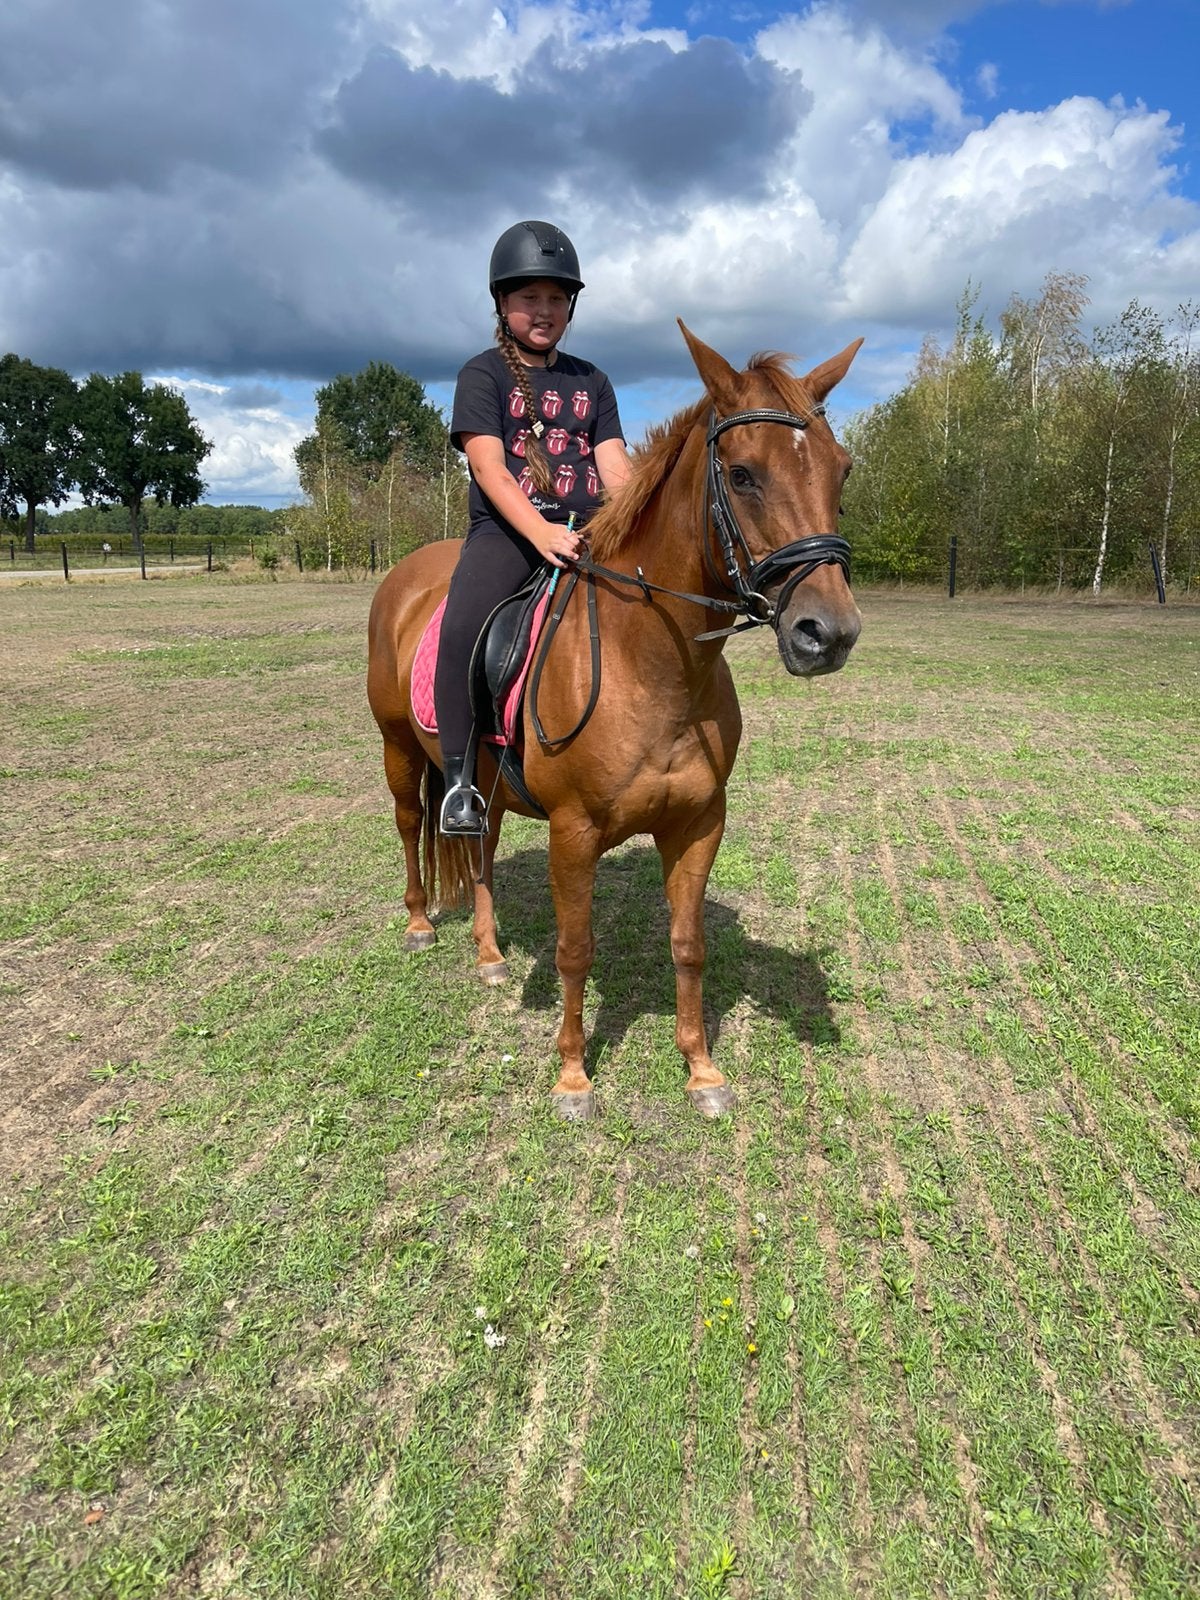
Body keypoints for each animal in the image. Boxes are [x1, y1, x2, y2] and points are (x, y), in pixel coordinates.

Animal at [366, 322, 862, 1120]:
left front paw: (702, 1071)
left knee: (480, 851)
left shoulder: (698, 824)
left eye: (840, 472)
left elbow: (689, 946)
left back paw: (491, 955)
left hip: (481, 779)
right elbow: (576, 950)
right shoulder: (573, 833)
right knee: (412, 825)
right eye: (743, 475)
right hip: (398, 748)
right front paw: (573, 1078)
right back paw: (418, 924)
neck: (652, 669)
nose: (829, 634)